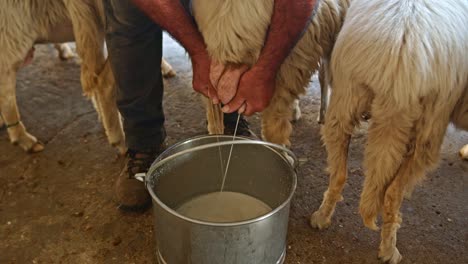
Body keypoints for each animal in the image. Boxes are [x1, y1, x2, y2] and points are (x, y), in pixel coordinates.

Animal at [310, 0, 468, 262]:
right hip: (430, 128)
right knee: (393, 194)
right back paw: (389, 249)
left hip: (346, 97)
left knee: (339, 172)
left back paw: (322, 218)